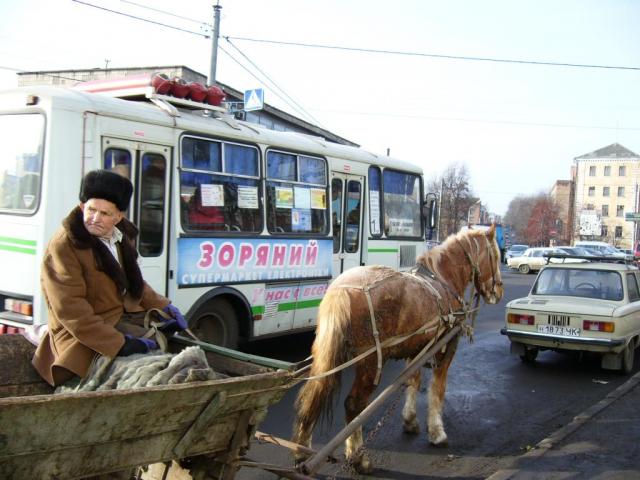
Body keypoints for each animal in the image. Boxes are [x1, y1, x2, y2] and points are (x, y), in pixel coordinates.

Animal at [292, 223, 504, 474]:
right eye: (496, 255)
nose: (499, 292)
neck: (443, 280)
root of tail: (341, 290)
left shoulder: (417, 349)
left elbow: (413, 381)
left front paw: (410, 421)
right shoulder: (445, 348)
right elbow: (438, 389)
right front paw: (437, 432)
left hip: (329, 357)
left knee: (312, 395)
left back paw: (302, 452)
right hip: (370, 362)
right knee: (355, 405)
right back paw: (358, 458)